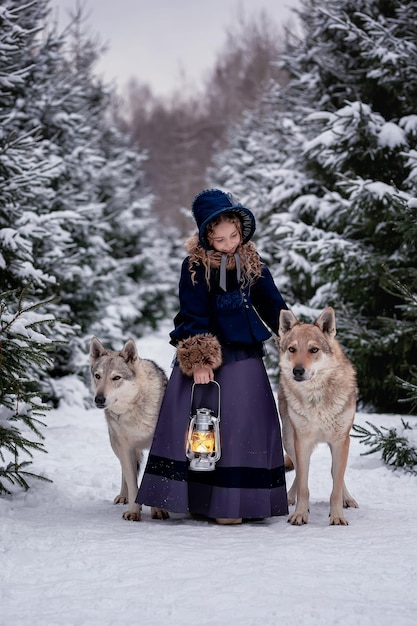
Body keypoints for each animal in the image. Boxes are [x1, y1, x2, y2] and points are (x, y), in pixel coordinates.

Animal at [90, 334, 168, 520]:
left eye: (116, 378)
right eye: (97, 376)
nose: (99, 399)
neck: (134, 409)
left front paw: (158, 510)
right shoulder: (125, 448)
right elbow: (132, 482)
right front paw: (133, 511)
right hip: (117, 446)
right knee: (124, 472)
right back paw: (124, 497)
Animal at [276, 304, 358, 524]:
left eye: (313, 350)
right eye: (292, 349)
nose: (297, 371)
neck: (316, 400)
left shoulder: (340, 441)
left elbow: (336, 487)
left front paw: (337, 517)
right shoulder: (302, 442)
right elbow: (304, 485)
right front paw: (300, 514)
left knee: (336, 473)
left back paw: (348, 499)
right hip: (288, 440)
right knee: (298, 472)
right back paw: (289, 498)